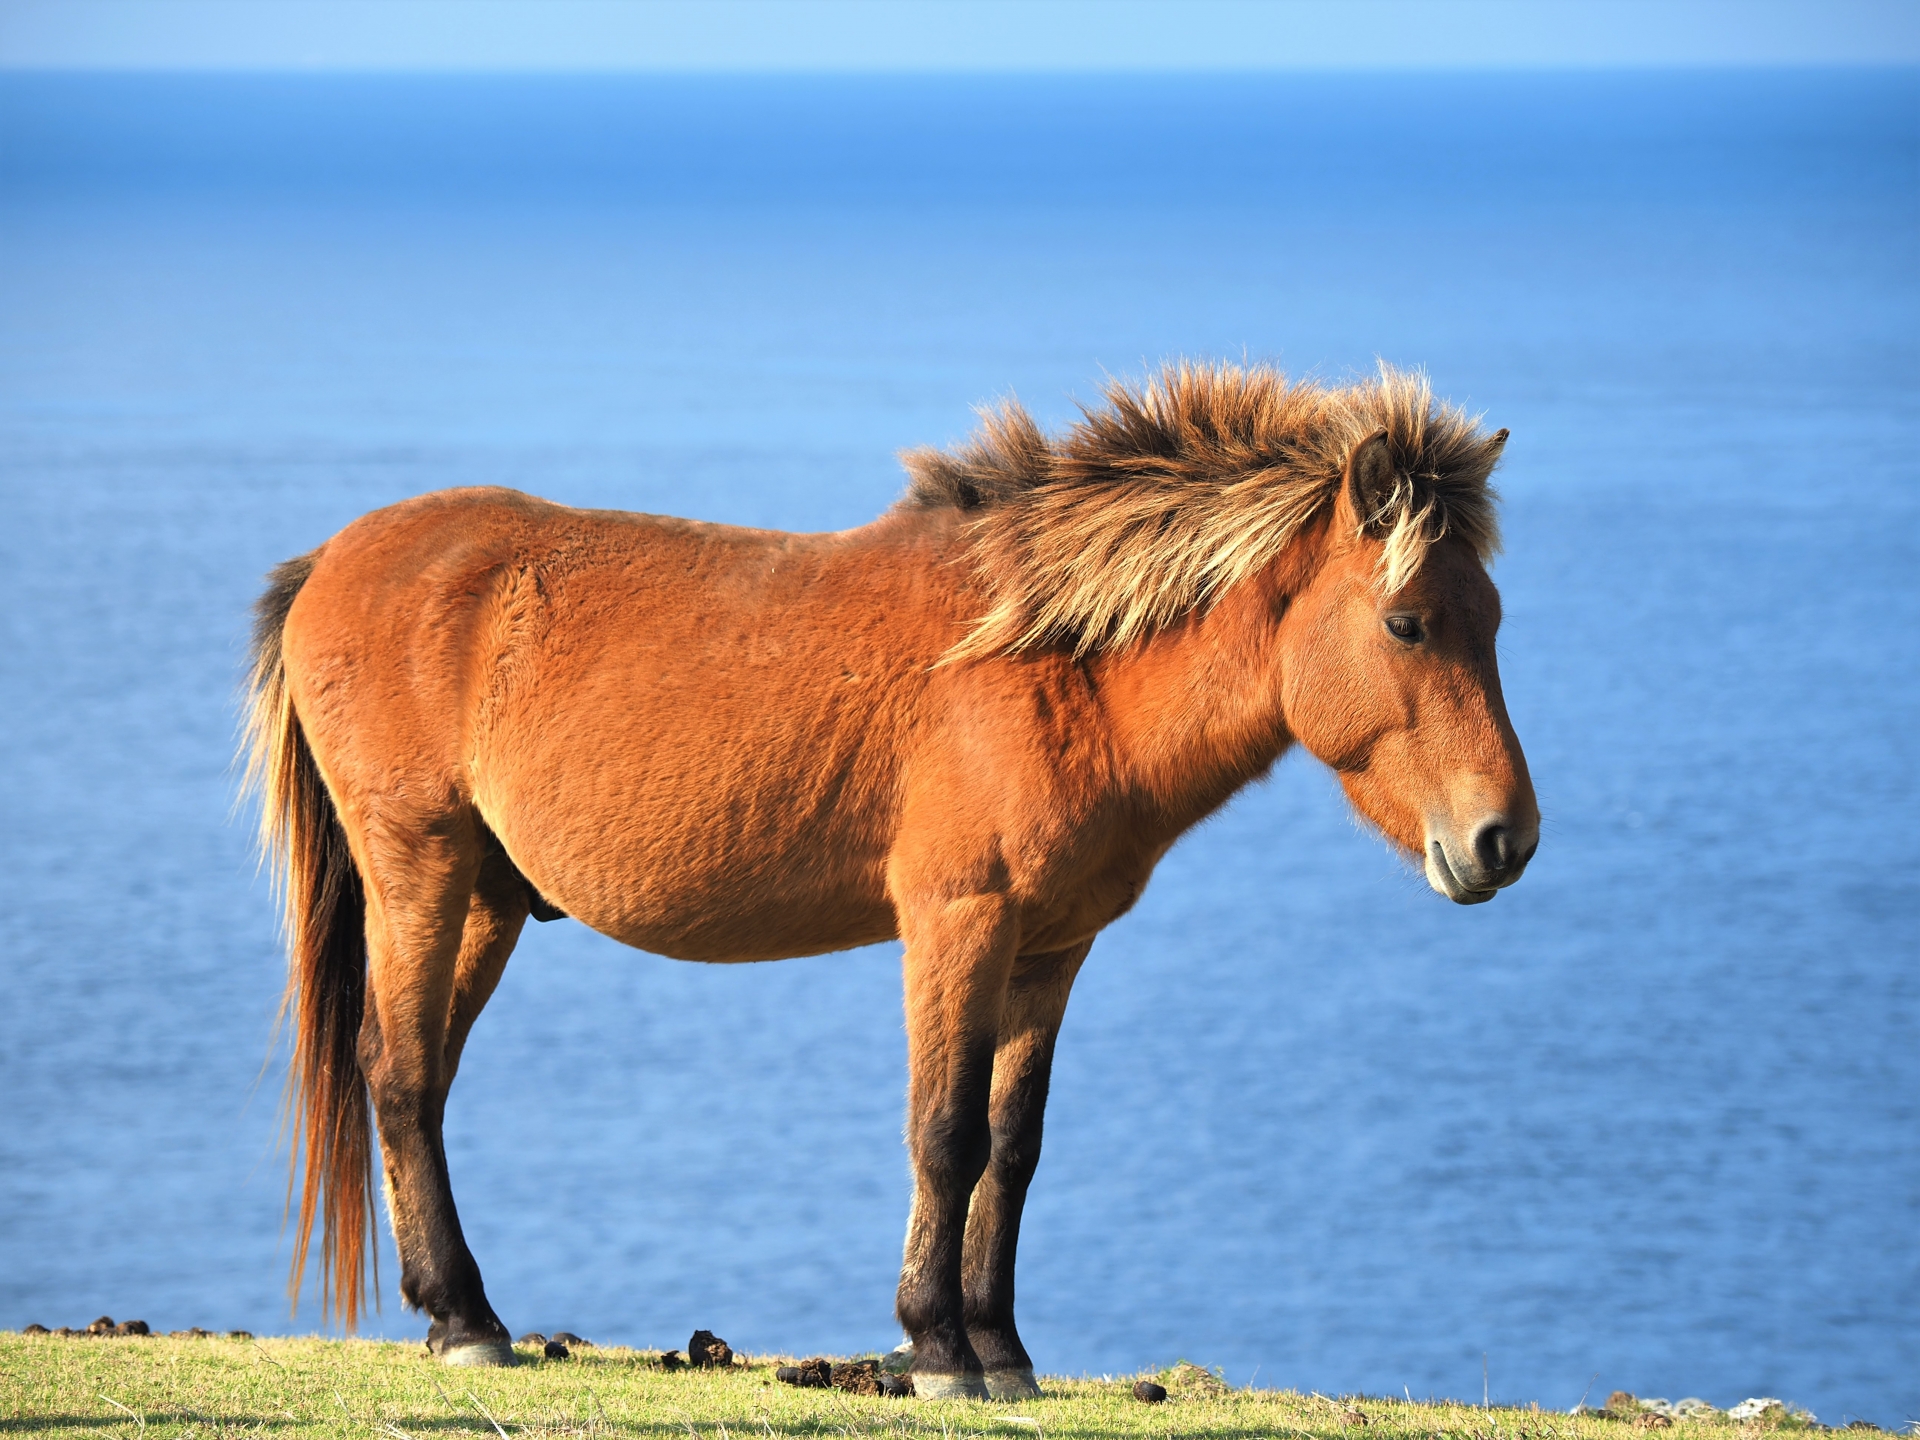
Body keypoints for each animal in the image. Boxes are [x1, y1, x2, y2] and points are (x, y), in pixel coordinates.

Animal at [240, 359, 1536, 1397]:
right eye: (1409, 623)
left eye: (1493, 616)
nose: (1504, 841)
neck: (1053, 666)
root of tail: (334, 560)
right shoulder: (958, 923)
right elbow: (945, 1133)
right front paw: (937, 1349)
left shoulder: (1051, 950)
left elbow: (1014, 1145)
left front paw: (1003, 1350)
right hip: (420, 864)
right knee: (399, 1071)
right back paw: (467, 1322)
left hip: (490, 901)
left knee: (415, 1077)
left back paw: (456, 1310)